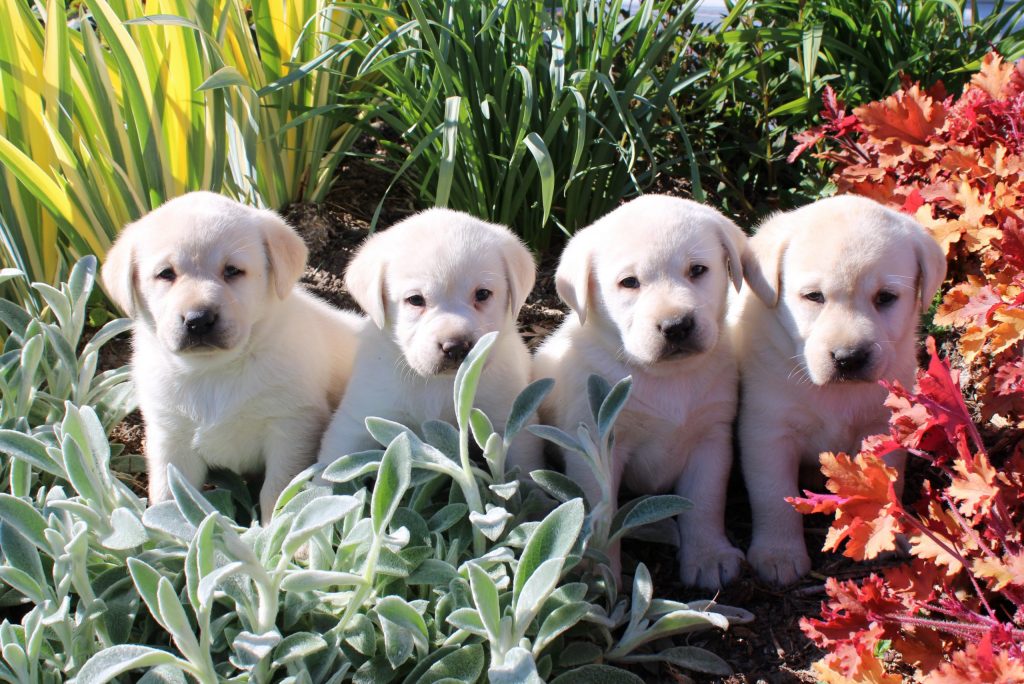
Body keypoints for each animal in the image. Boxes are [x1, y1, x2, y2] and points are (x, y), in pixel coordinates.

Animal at [102, 192, 364, 522]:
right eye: (166, 274)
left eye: (232, 271)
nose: (199, 320)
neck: (214, 370)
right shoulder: (169, 437)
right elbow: (168, 496)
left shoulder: (291, 428)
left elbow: (276, 493)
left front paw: (274, 533)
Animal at [316, 209, 543, 475]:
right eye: (415, 300)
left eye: (482, 294)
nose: (456, 347)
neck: (437, 384)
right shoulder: (359, 418)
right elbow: (331, 466)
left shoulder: (509, 420)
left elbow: (525, 467)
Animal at [533, 194, 749, 589]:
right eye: (629, 282)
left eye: (698, 270)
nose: (677, 326)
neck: (665, 376)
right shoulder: (596, 443)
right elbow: (599, 510)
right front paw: (596, 570)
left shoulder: (711, 439)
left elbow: (705, 501)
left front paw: (708, 554)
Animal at [734, 195, 947, 585]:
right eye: (813, 296)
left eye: (885, 297)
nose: (849, 358)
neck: (834, 394)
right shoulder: (767, 432)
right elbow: (774, 496)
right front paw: (778, 552)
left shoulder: (880, 427)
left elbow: (887, 483)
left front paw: (886, 531)